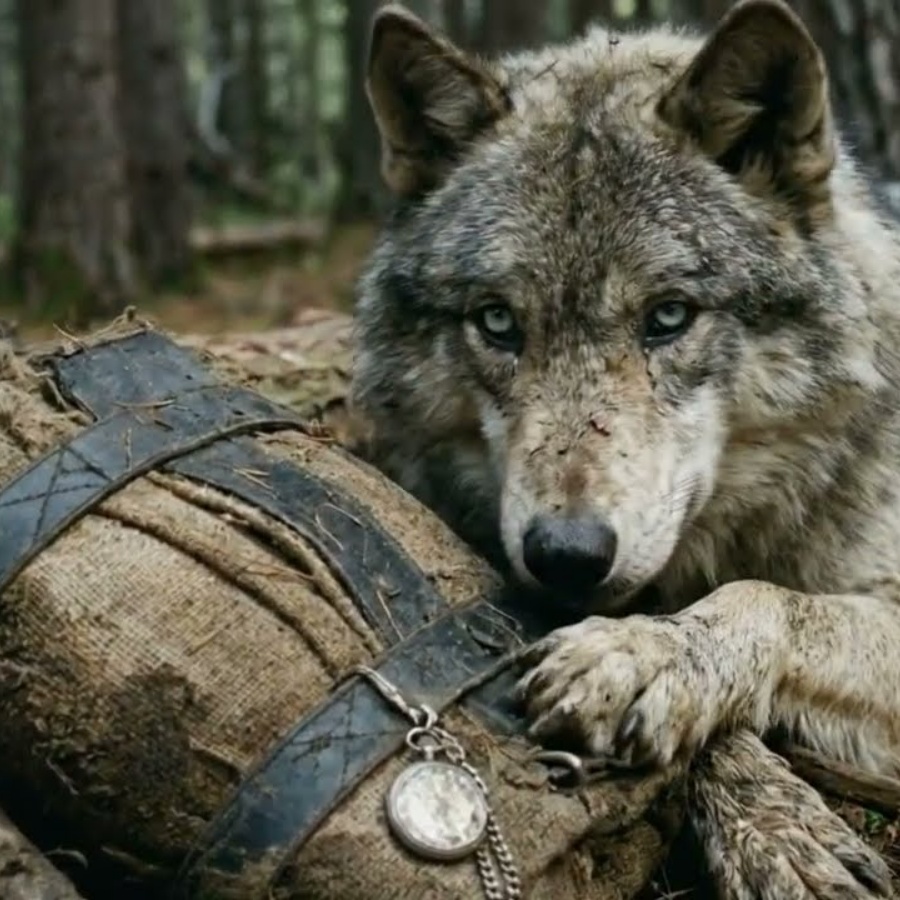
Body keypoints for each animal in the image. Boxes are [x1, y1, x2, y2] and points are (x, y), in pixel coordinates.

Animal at [350, 0, 900, 895]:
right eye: (497, 322)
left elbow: (766, 600)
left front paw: (654, 651)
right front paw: (771, 819)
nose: (565, 555)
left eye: (669, 317)